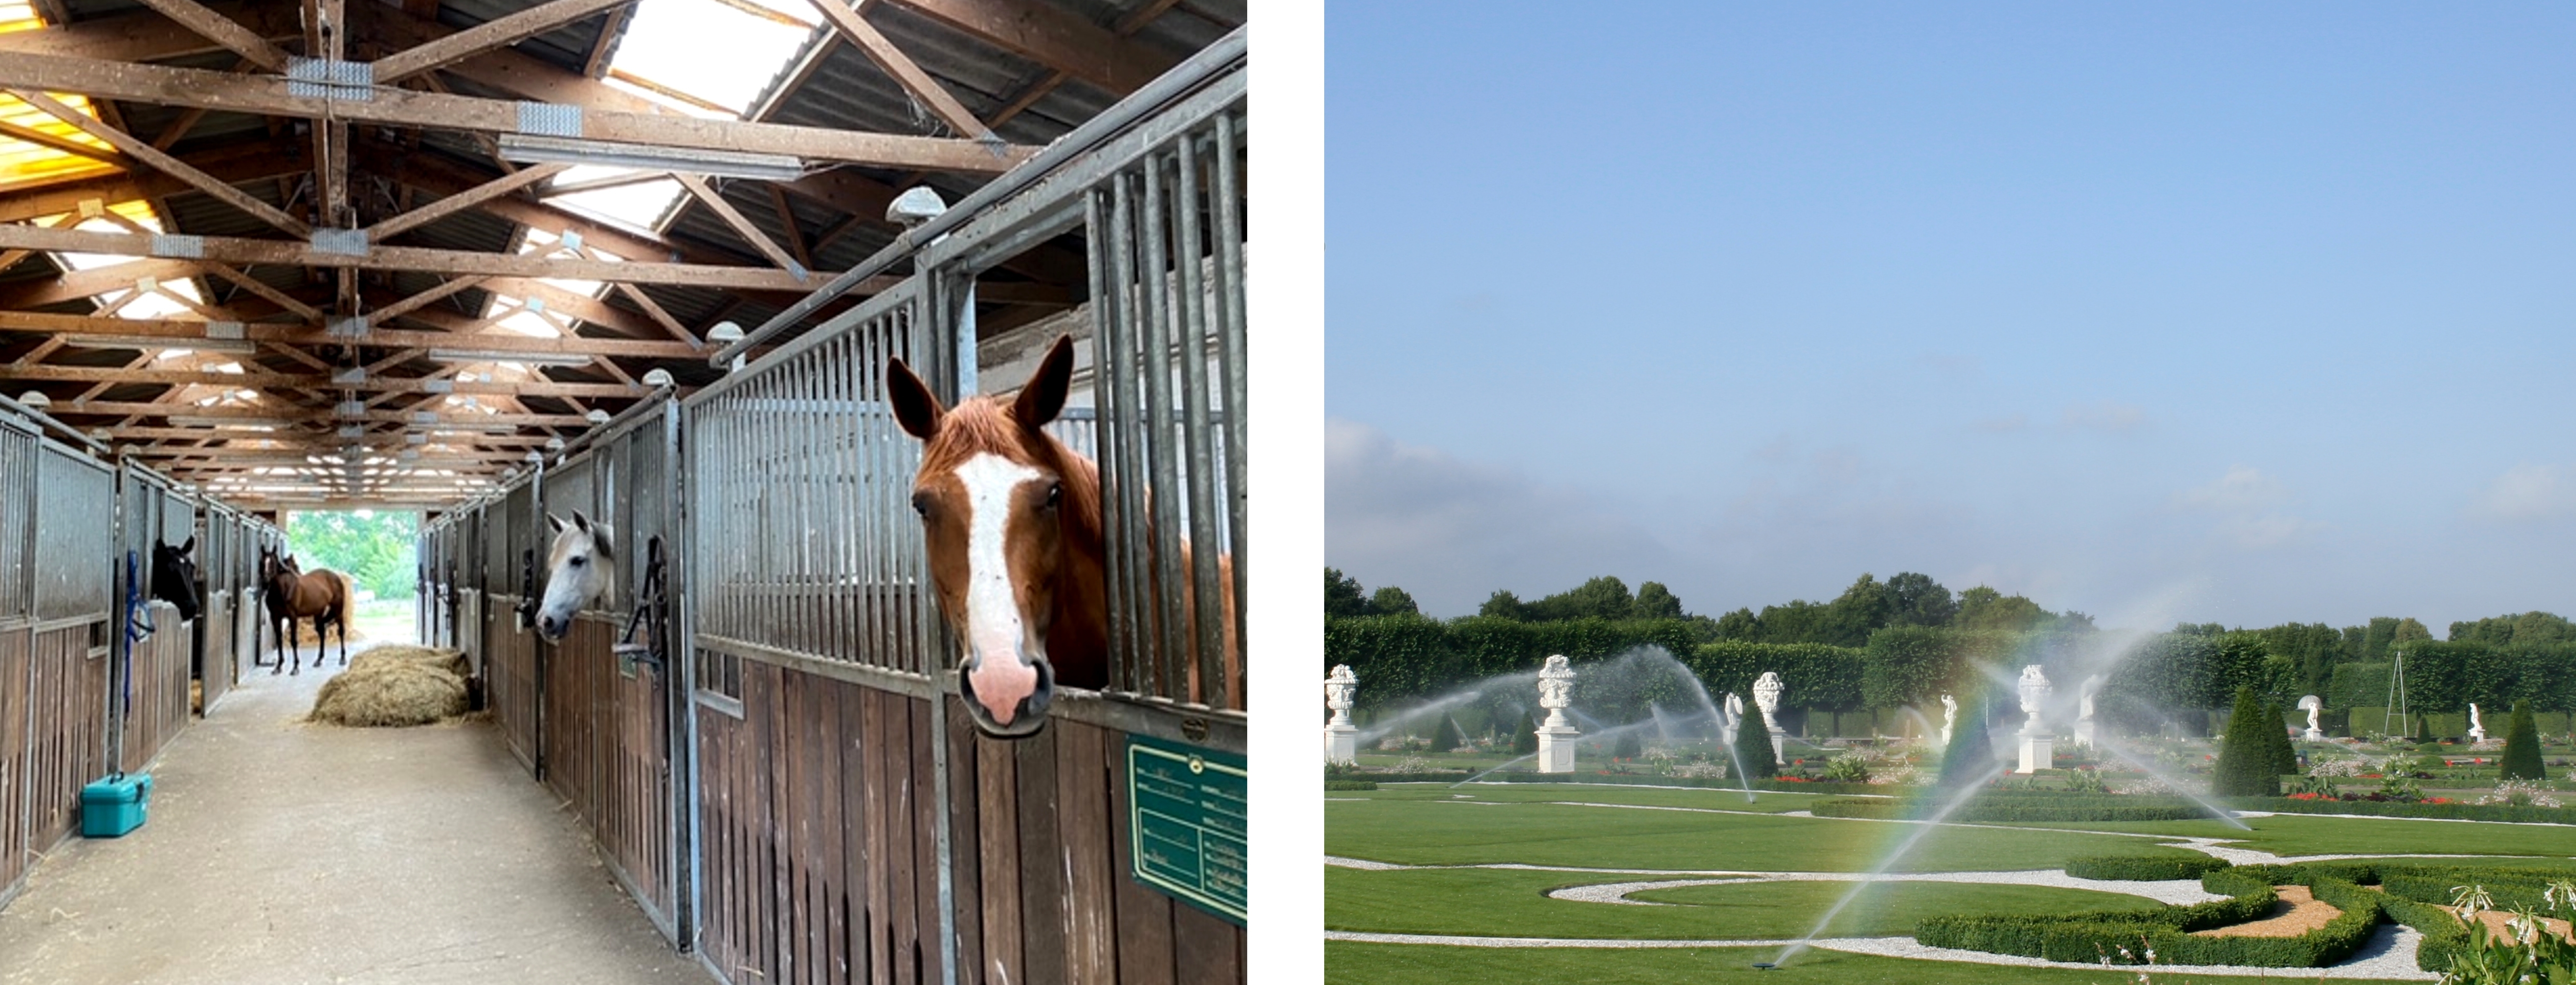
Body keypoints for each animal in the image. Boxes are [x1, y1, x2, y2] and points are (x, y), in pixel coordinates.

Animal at [260, 546, 353, 675]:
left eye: (273, 563)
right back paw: (319, 660)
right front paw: (278, 667)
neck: (283, 590)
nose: (265, 582)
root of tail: (335, 577)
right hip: (318, 614)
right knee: (322, 632)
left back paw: (343, 659)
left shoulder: (293, 617)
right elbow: (279, 640)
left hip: (338, 610)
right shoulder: (275, 617)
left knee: (341, 632)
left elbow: (294, 641)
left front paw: (295, 668)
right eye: (262, 562)